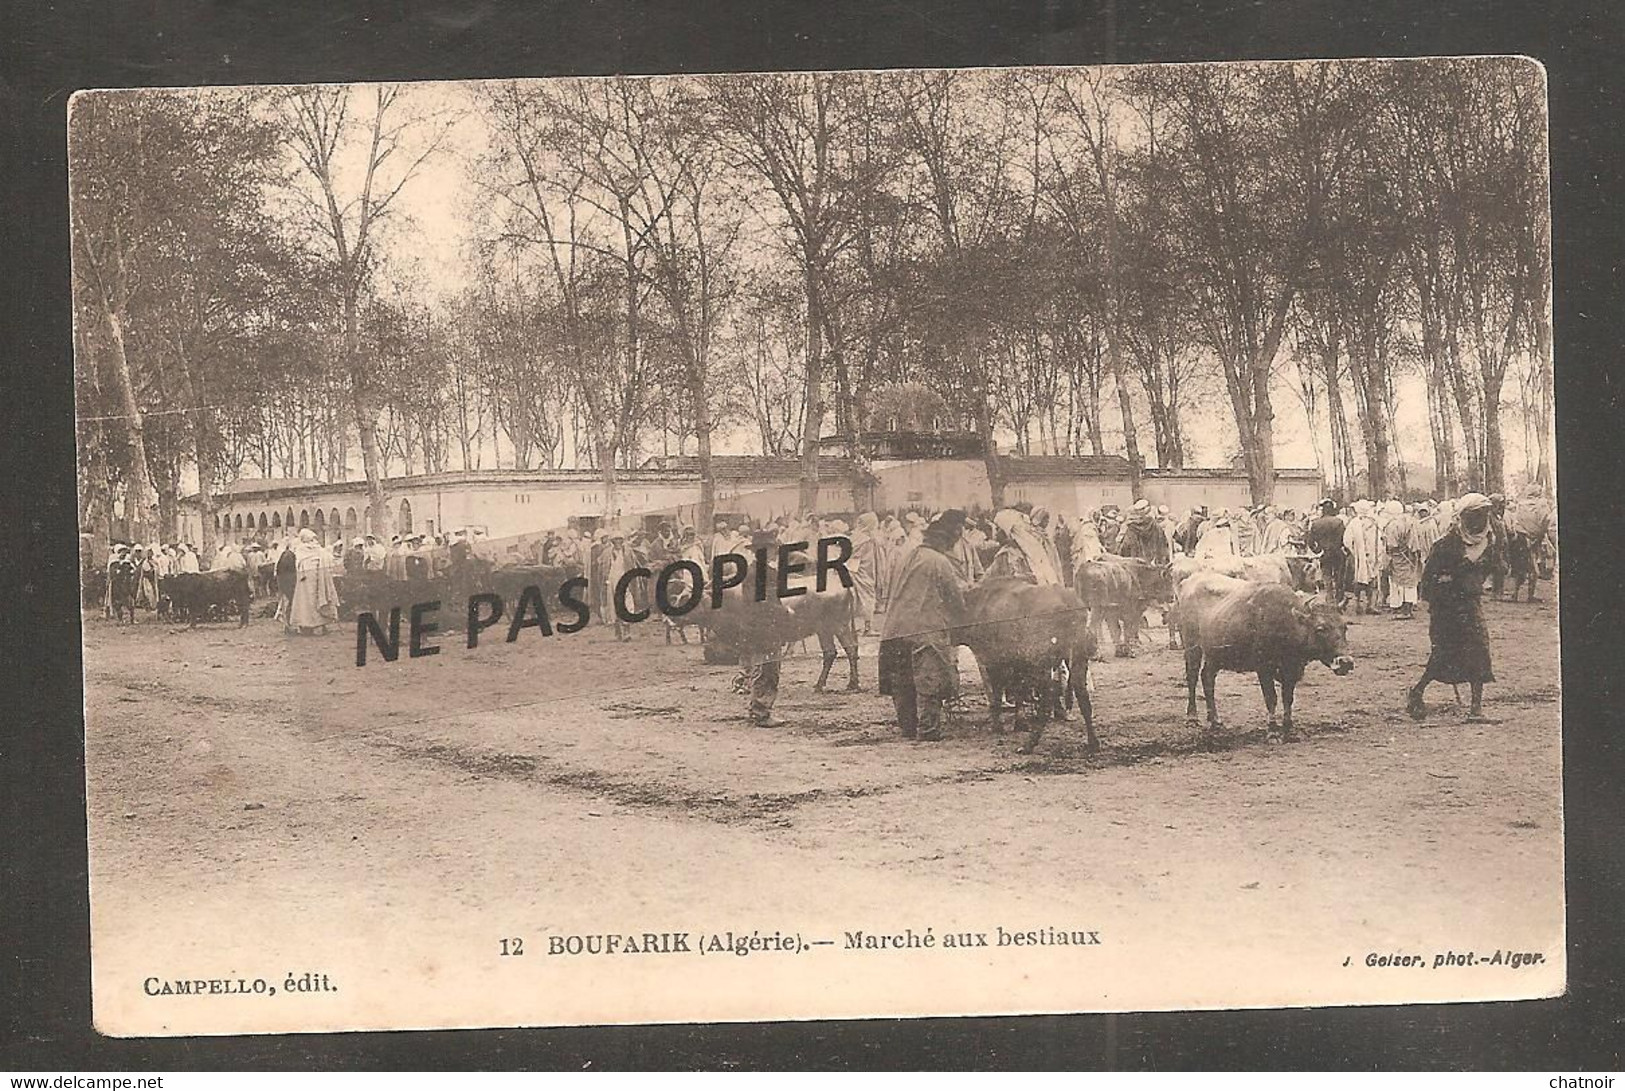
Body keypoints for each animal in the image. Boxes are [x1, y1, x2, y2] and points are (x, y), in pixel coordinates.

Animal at [955, 578, 1098, 751]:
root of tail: (1067, 600)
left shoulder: (992, 660)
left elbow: (997, 692)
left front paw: (998, 726)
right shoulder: (1016, 664)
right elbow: (1018, 690)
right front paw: (1020, 723)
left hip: (1040, 664)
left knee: (1047, 700)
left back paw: (1029, 744)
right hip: (1077, 658)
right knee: (1082, 695)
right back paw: (1093, 743)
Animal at [1176, 572, 1352, 741]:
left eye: (1344, 627)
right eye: (1320, 629)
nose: (1346, 662)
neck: (1287, 621)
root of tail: (1188, 582)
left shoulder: (1292, 670)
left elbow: (1288, 698)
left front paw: (1288, 729)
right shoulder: (1264, 668)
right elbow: (1271, 698)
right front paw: (1273, 732)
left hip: (1215, 655)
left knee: (1207, 678)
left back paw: (1215, 720)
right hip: (1192, 647)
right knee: (1192, 677)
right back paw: (1192, 717)